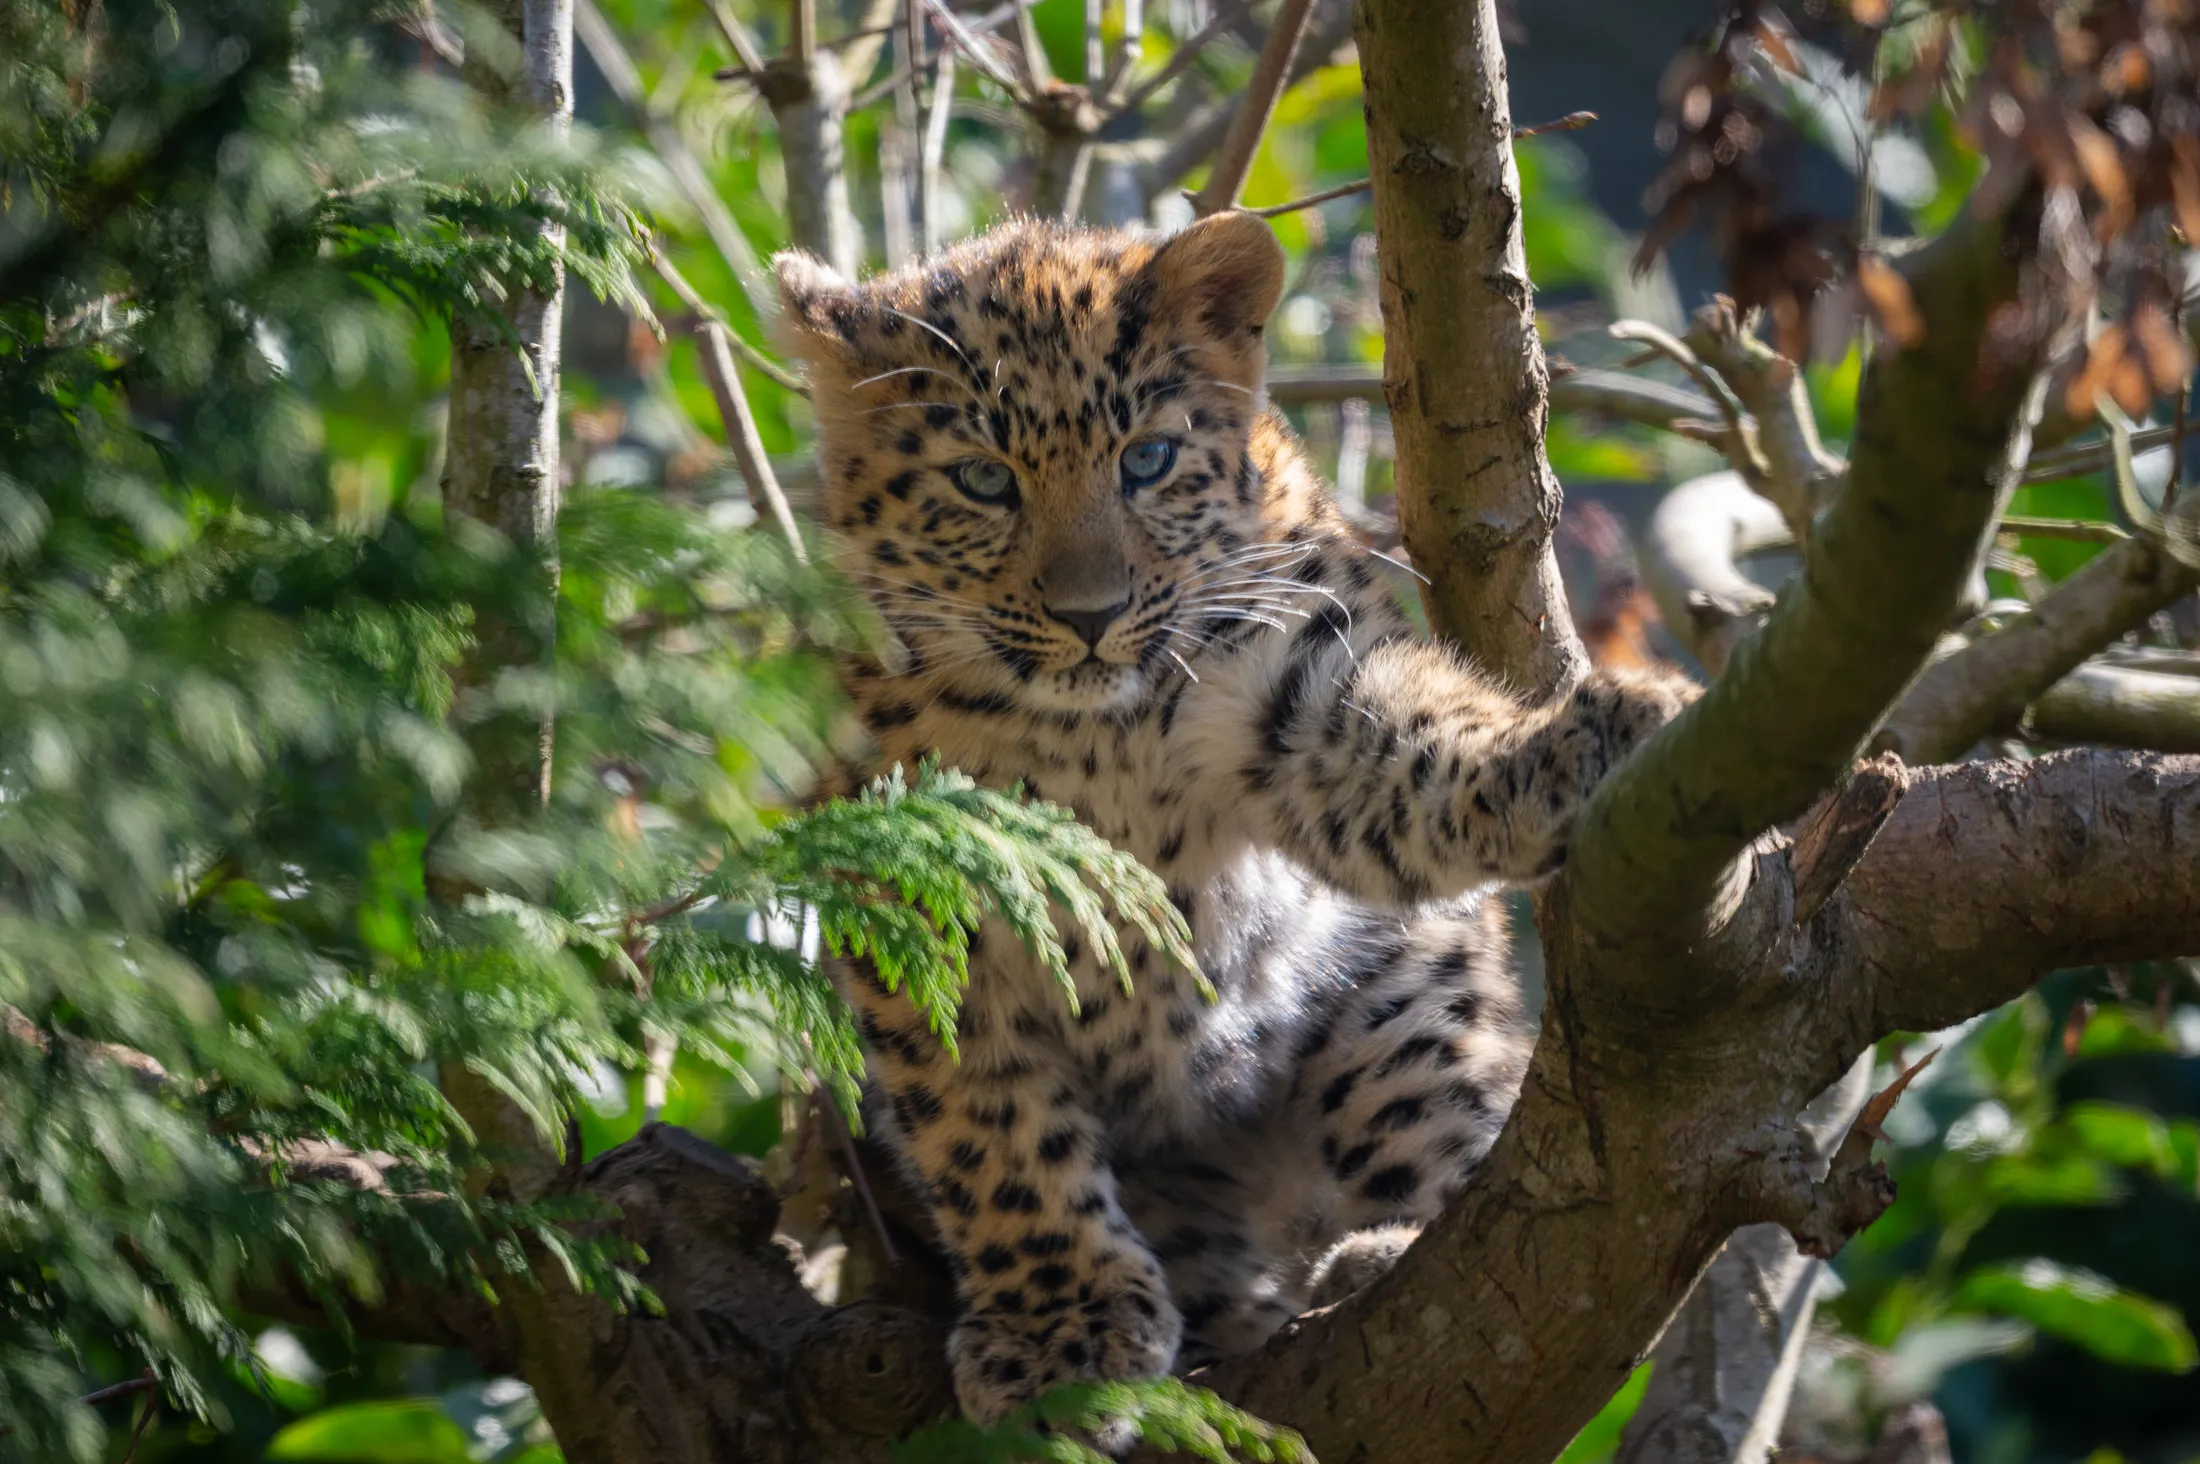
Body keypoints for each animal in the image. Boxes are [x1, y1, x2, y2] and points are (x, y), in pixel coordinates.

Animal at [772, 210, 1696, 1427]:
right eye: (981, 481)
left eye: (1147, 461)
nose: (1092, 616)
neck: (1088, 740)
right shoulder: (918, 890)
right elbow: (990, 1129)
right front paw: (1060, 1326)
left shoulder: (1295, 680)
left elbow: (1408, 744)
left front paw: (1569, 743)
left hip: (1401, 997)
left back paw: (1384, 1249)